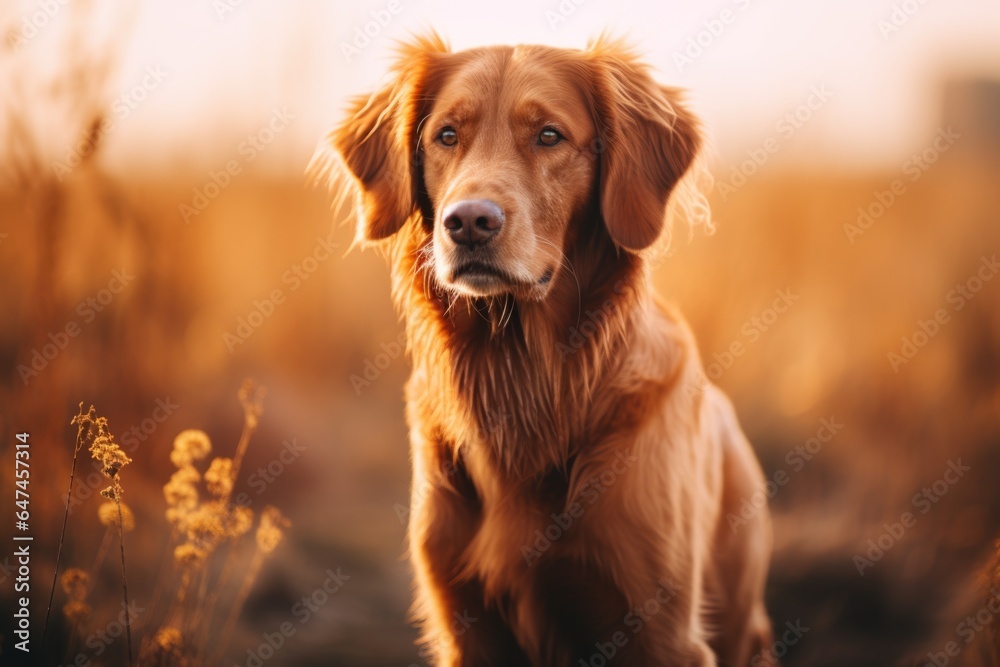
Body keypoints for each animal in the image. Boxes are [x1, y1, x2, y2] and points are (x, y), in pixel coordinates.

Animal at [324, 32, 776, 667]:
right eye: (446, 135)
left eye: (549, 135)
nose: (468, 222)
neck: (525, 375)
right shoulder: (465, 622)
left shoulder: (662, 631)